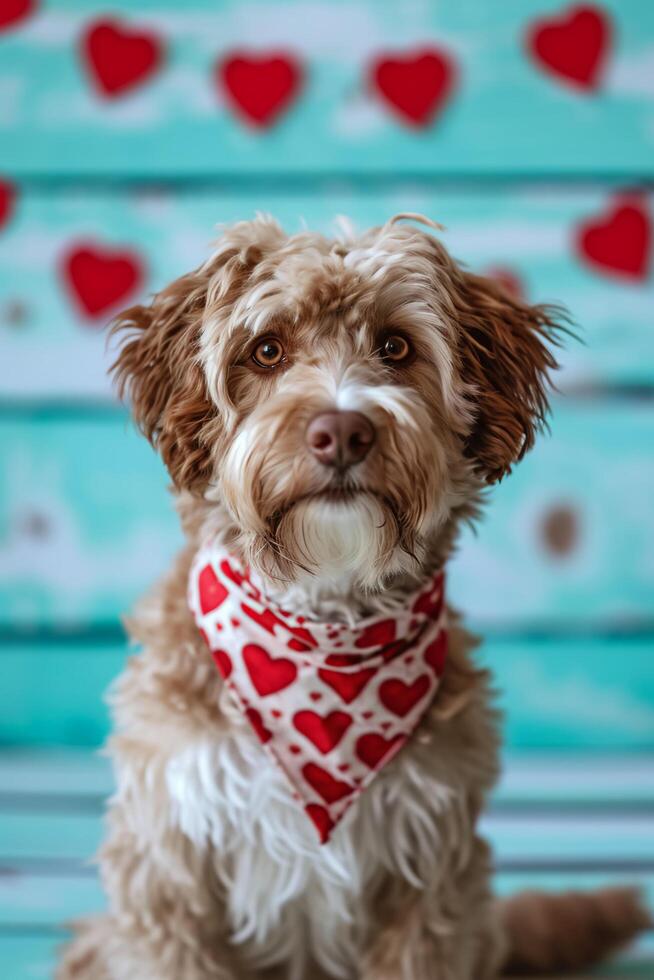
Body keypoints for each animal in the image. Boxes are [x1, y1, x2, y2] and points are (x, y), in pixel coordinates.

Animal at [59, 216, 648, 980]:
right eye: (267, 349)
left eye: (395, 346)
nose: (341, 429)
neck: (326, 628)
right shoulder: (168, 866)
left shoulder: (433, 871)